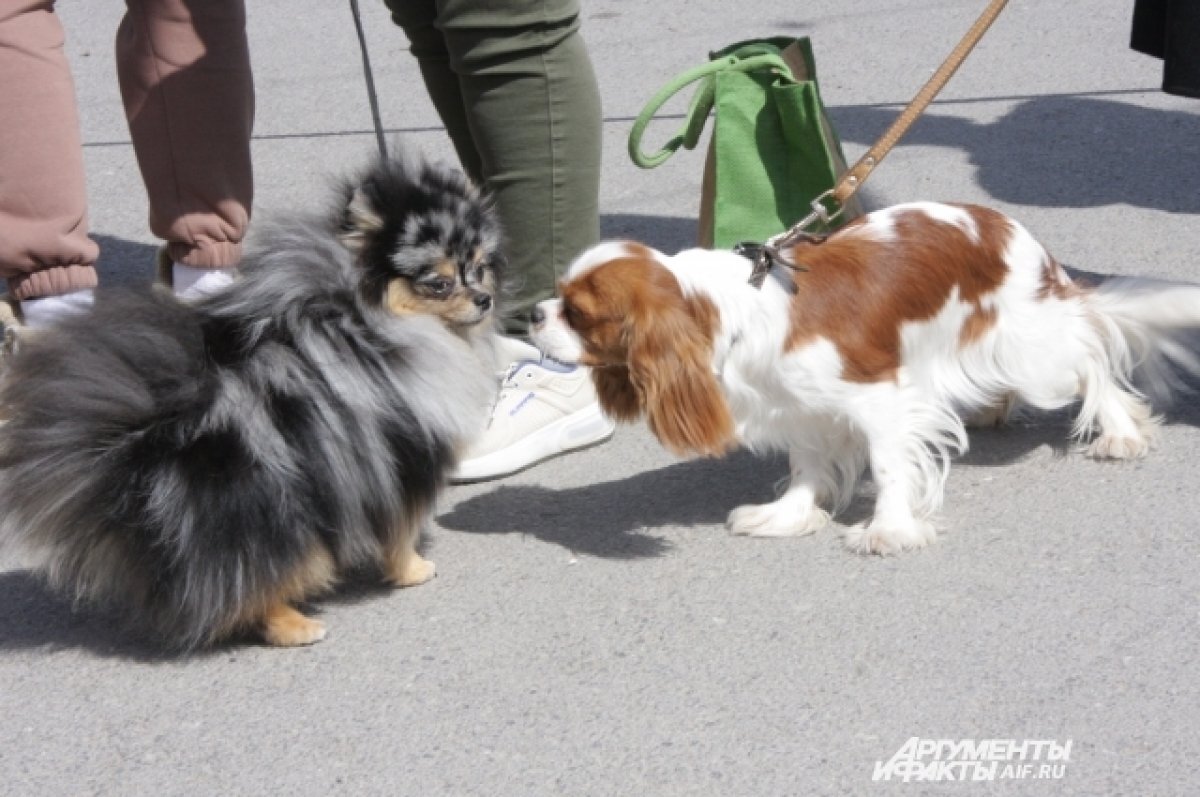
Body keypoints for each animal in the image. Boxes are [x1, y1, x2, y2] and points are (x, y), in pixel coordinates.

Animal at [0, 153, 501, 648]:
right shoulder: (402, 457)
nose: (484, 299)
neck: (365, 312)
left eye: (479, 267)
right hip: (272, 516)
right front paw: (413, 569)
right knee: (259, 580)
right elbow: (400, 530)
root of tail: (147, 443)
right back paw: (295, 625)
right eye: (438, 283)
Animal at [530, 202, 1200, 554]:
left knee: (1091, 354)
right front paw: (790, 515)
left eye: (578, 313)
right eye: (556, 297)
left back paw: (1118, 431)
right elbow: (806, 467)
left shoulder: (880, 398)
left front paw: (889, 528)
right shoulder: (796, 407)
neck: (727, 310)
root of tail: (1008, 226)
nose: (532, 313)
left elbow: (887, 465)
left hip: (1033, 346)